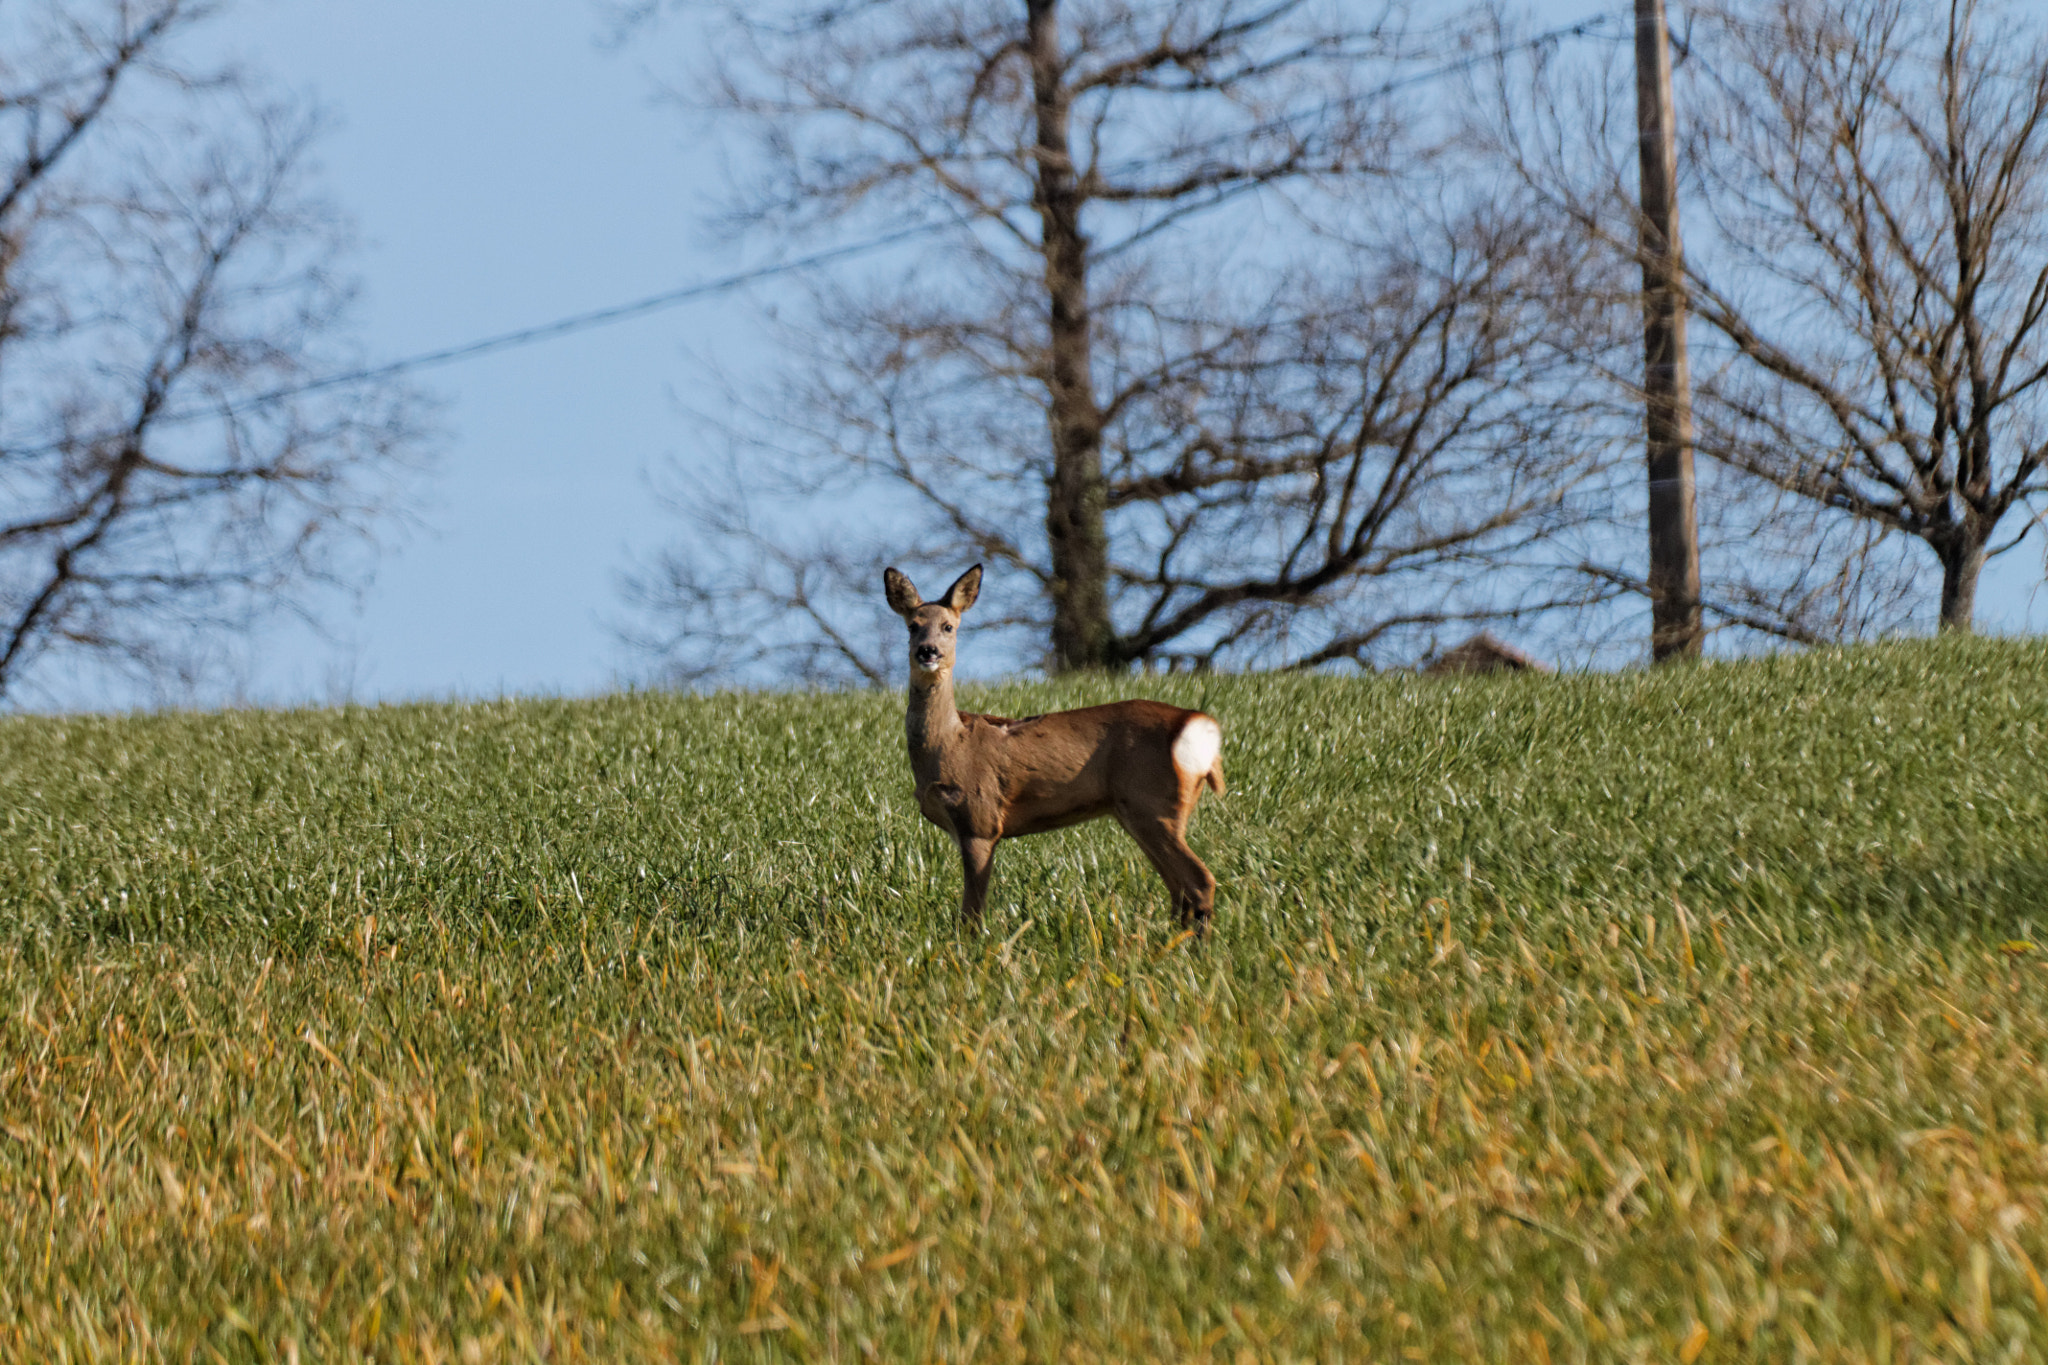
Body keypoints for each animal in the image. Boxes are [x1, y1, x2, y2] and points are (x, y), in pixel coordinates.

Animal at [876, 564, 1220, 929]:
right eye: (912, 625)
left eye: (948, 626)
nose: (928, 651)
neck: (950, 745)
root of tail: (1198, 725)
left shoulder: (980, 819)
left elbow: (972, 913)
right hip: (1138, 809)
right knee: (1179, 891)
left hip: (1153, 801)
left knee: (1200, 881)